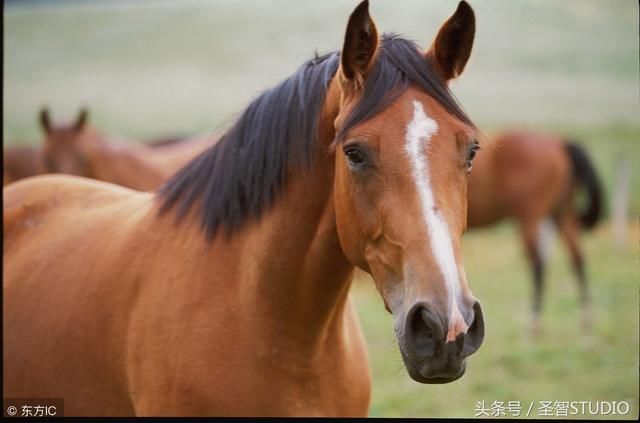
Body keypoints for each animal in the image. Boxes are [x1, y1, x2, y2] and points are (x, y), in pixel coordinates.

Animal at [468, 129, 604, 334]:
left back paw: (534, 322)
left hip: (530, 219)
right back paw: (585, 318)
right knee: (577, 258)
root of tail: (559, 142)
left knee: (538, 265)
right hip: (561, 213)